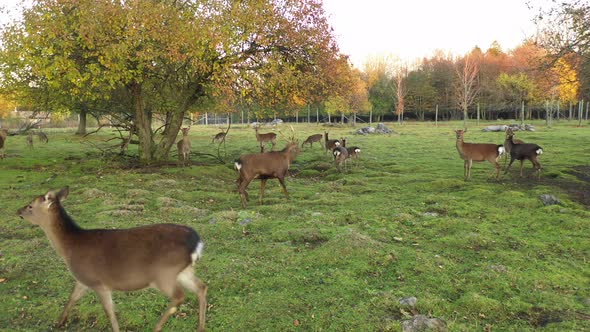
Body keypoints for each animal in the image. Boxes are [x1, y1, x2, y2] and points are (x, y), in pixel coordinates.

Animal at [16, 187, 208, 332]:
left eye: (30, 206)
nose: (18, 211)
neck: (70, 248)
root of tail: (196, 241)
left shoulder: (99, 282)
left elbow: (109, 312)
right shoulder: (83, 280)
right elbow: (72, 298)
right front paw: (59, 323)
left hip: (163, 273)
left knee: (179, 296)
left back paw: (157, 327)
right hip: (184, 271)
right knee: (201, 287)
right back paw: (200, 327)